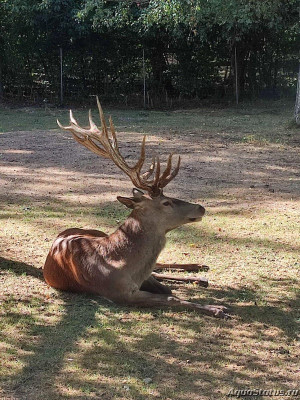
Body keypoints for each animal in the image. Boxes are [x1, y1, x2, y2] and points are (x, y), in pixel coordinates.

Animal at [42, 99, 230, 318]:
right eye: (166, 202)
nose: (201, 207)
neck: (119, 263)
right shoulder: (121, 294)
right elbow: (171, 296)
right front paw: (217, 308)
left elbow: (167, 288)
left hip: (97, 231)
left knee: (160, 267)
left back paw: (200, 269)